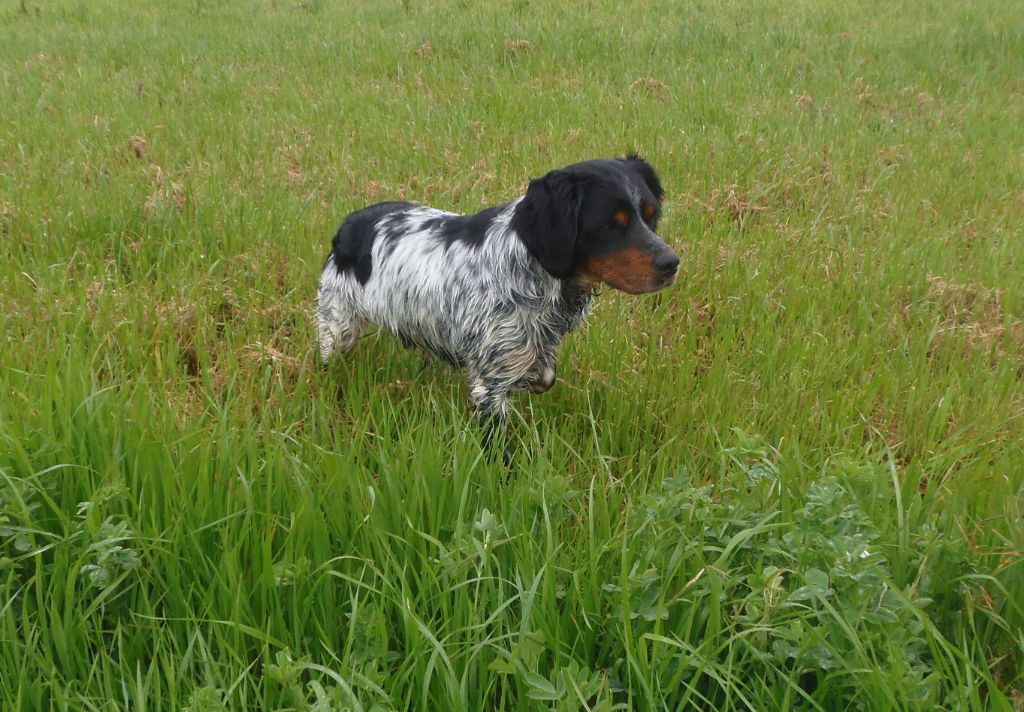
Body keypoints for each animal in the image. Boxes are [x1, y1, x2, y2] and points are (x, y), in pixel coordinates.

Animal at [315, 155, 675, 434]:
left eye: (651, 215)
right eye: (610, 225)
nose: (672, 263)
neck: (531, 267)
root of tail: (348, 225)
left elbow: (544, 374)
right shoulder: (492, 385)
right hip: (337, 326)